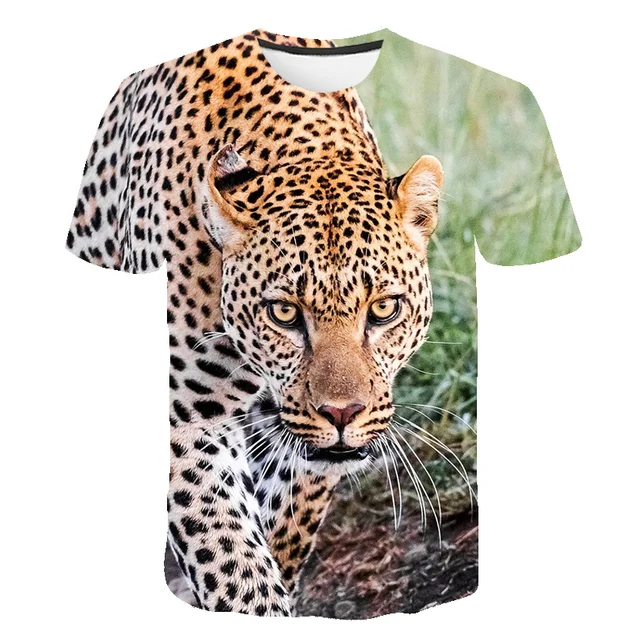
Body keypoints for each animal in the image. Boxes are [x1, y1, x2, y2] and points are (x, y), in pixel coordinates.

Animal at [67, 29, 443, 616]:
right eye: (284, 312)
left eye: (384, 308)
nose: (342, 413)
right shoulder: (186, 422)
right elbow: (232, 560)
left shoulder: (299, 445)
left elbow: (286, 523)